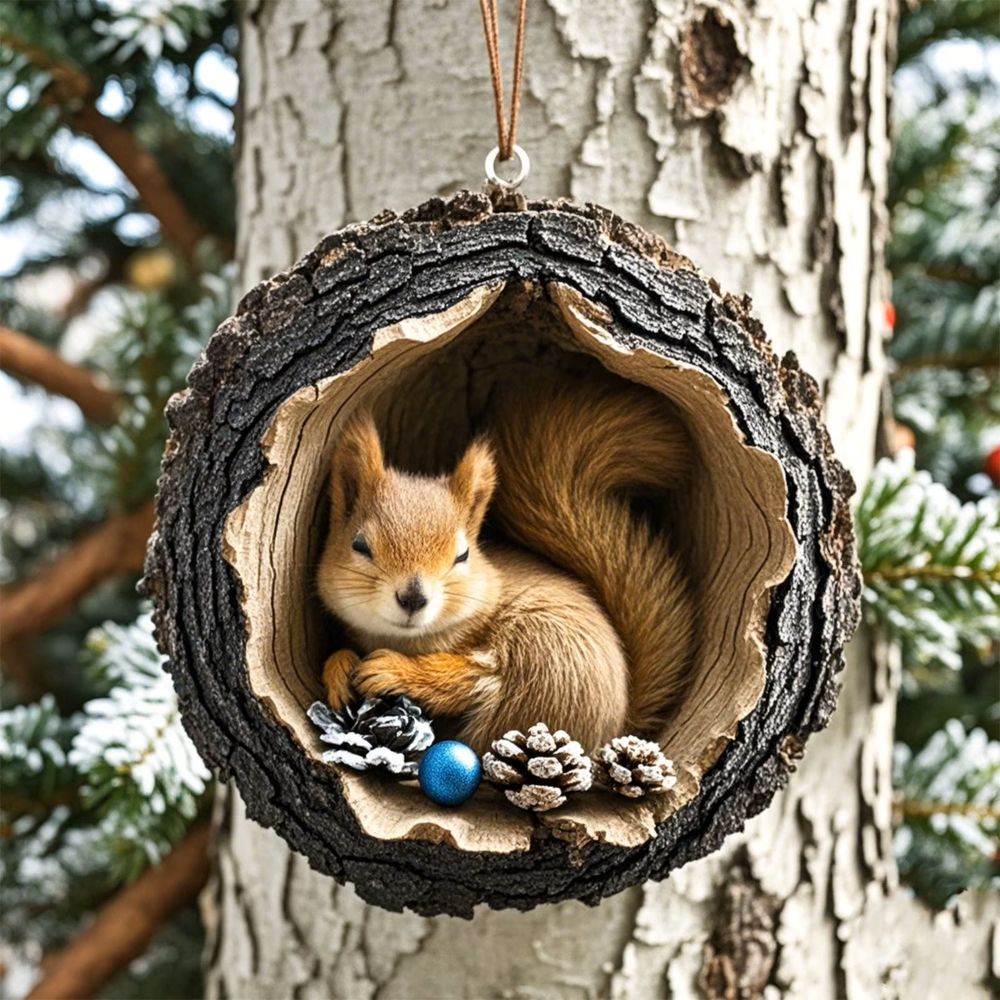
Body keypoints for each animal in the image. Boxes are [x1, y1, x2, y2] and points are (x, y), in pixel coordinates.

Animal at [316, 379, 695, 754]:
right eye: (359, 545)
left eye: (463, 555)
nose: (413, 598)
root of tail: (616, 727)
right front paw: (339, 669)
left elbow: (462, 677)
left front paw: (392, 670)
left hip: (548, 665)